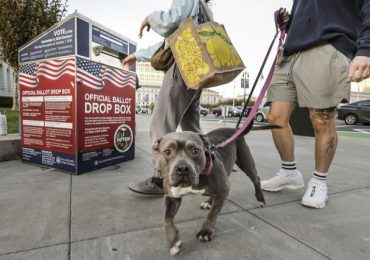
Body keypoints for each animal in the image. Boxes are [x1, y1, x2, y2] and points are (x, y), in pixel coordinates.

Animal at [153, 127, 266, 255]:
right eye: (167, 152)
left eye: (195, 151)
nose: (182, 168)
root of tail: (233, 129)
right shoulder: (171, 197)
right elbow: (166, 219)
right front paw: (173, 241)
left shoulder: (223, 190)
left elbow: (213, 214)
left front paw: (206, 231)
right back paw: (209, 202)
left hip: (246, 162)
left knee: (256, 178)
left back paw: (260, 198)